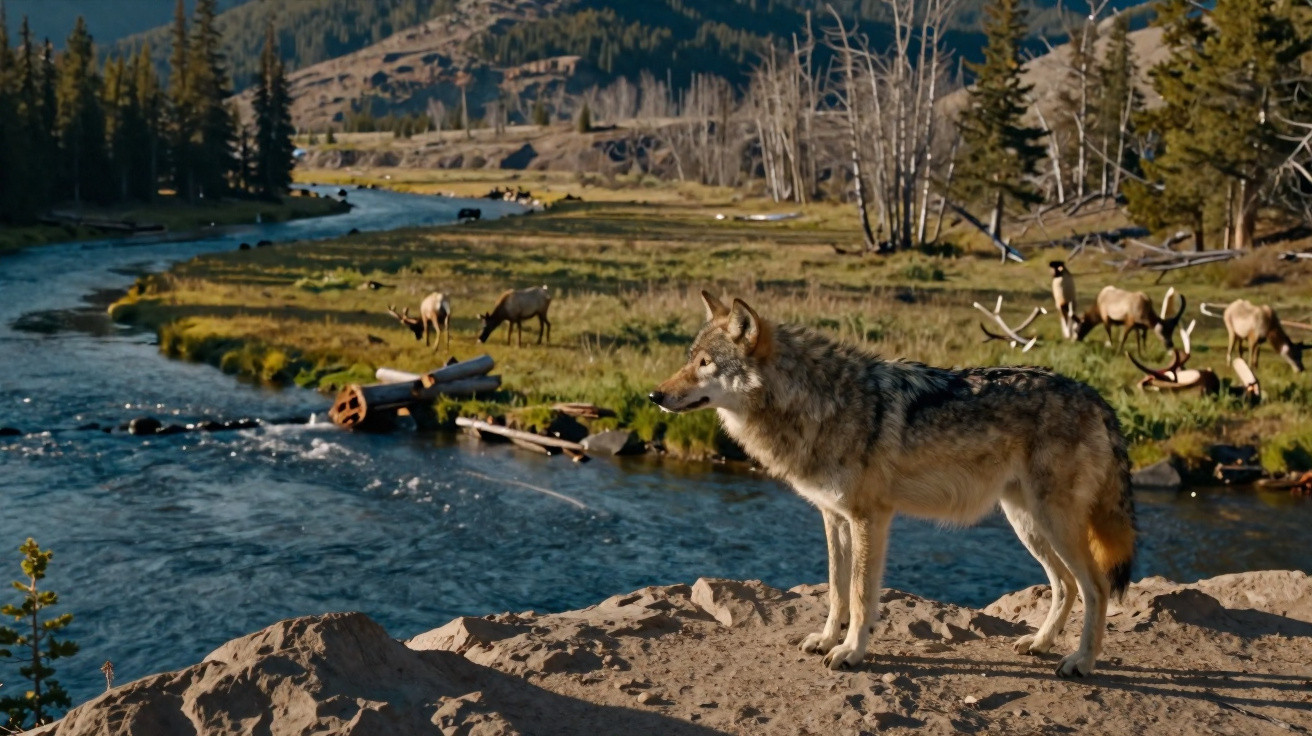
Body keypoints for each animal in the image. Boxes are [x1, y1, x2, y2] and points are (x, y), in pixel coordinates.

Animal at [649, 292, 1136, 676]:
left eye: (705, 364)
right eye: (689, 359)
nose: (654, 395)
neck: (820, 403)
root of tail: (1096, 396)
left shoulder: (870, 519)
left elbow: (862, 594)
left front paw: (851, 652)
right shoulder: (834, 518)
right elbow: (836, 591)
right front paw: (827, 640)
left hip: (1052, 523)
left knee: (1095, 588)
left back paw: (1081, 661)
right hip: (1027, 523)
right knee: (1065, 585)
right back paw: (1040, 643)